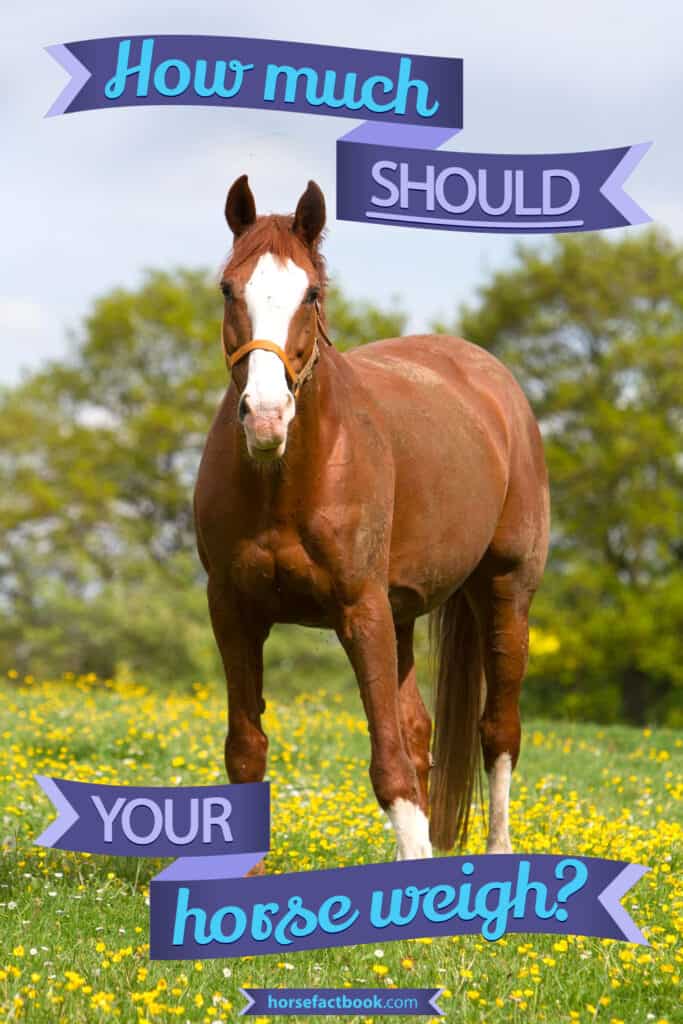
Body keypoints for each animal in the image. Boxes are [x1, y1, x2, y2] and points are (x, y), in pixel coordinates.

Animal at [194, 175, 550, 863]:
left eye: (312, 293)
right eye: (228, 288)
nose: (266, 417)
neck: (290, 476)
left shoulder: (359, 610)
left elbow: (389, 765)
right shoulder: (233, 611)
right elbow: (247, 752)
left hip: (504, 592)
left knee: (498, 732)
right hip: (402, 614)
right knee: (419, 731)